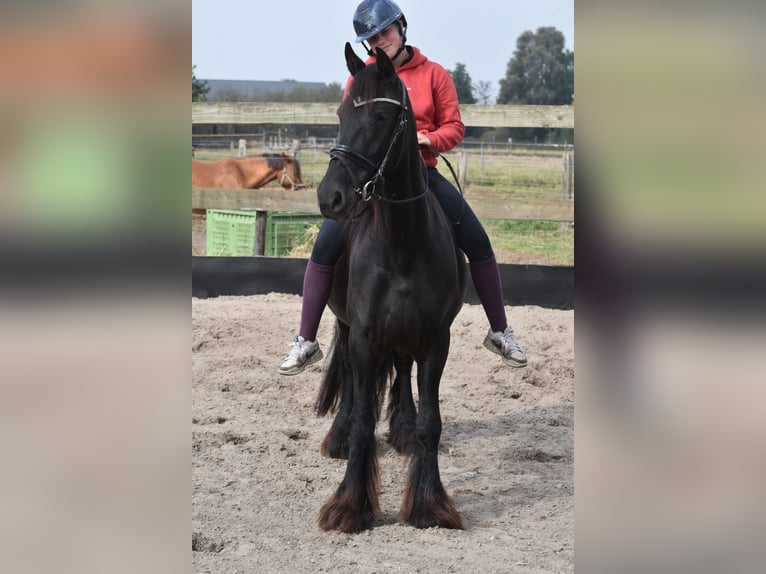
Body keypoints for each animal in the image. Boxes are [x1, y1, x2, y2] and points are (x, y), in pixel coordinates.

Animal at [313, 43, 466, 533]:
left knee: (400, 370)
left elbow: (431, 422)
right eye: (342, 113)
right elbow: (363, 418)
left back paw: (401, 431)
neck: (401, 244)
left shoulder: (436, 339)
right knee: (348, 376)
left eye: (382, 117)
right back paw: (338, 436)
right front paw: (349, 505)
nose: (331, 197)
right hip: (347, 326)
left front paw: (430, 504)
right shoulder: (364, 336)